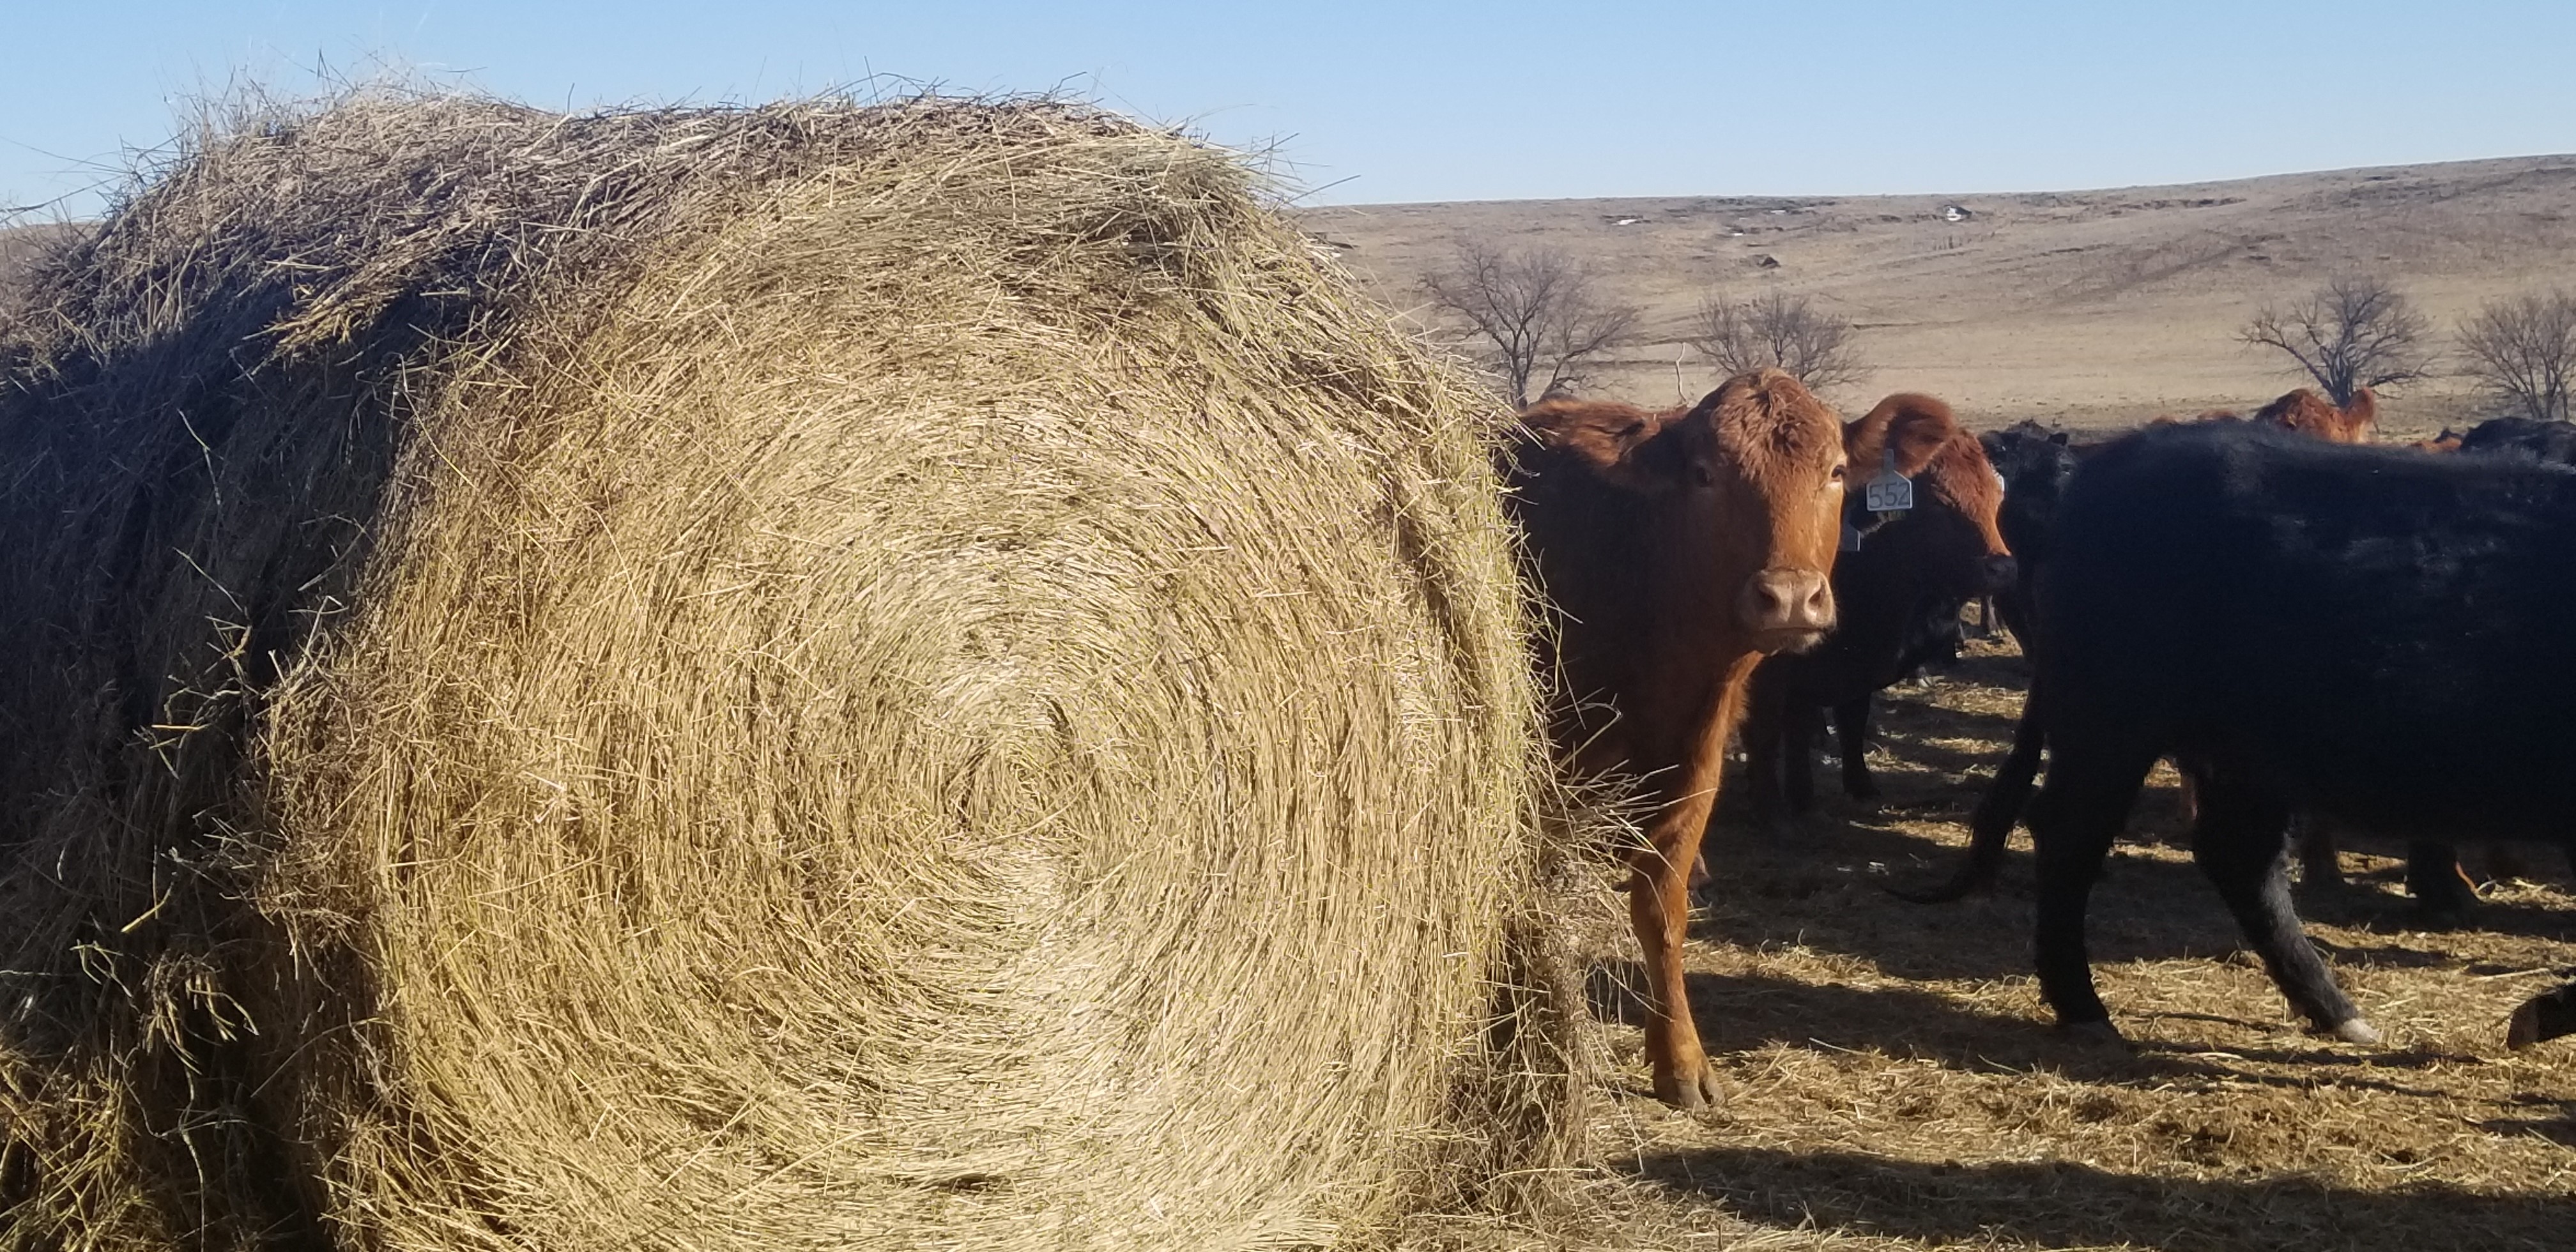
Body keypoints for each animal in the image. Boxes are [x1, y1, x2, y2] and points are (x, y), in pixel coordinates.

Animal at [1504, 368, 1855, 1108]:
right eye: (1705, 474)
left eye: (1836, 472)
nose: (1789, 597)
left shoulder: (1697, 761)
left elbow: (1661, 907)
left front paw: (1681, 1058)